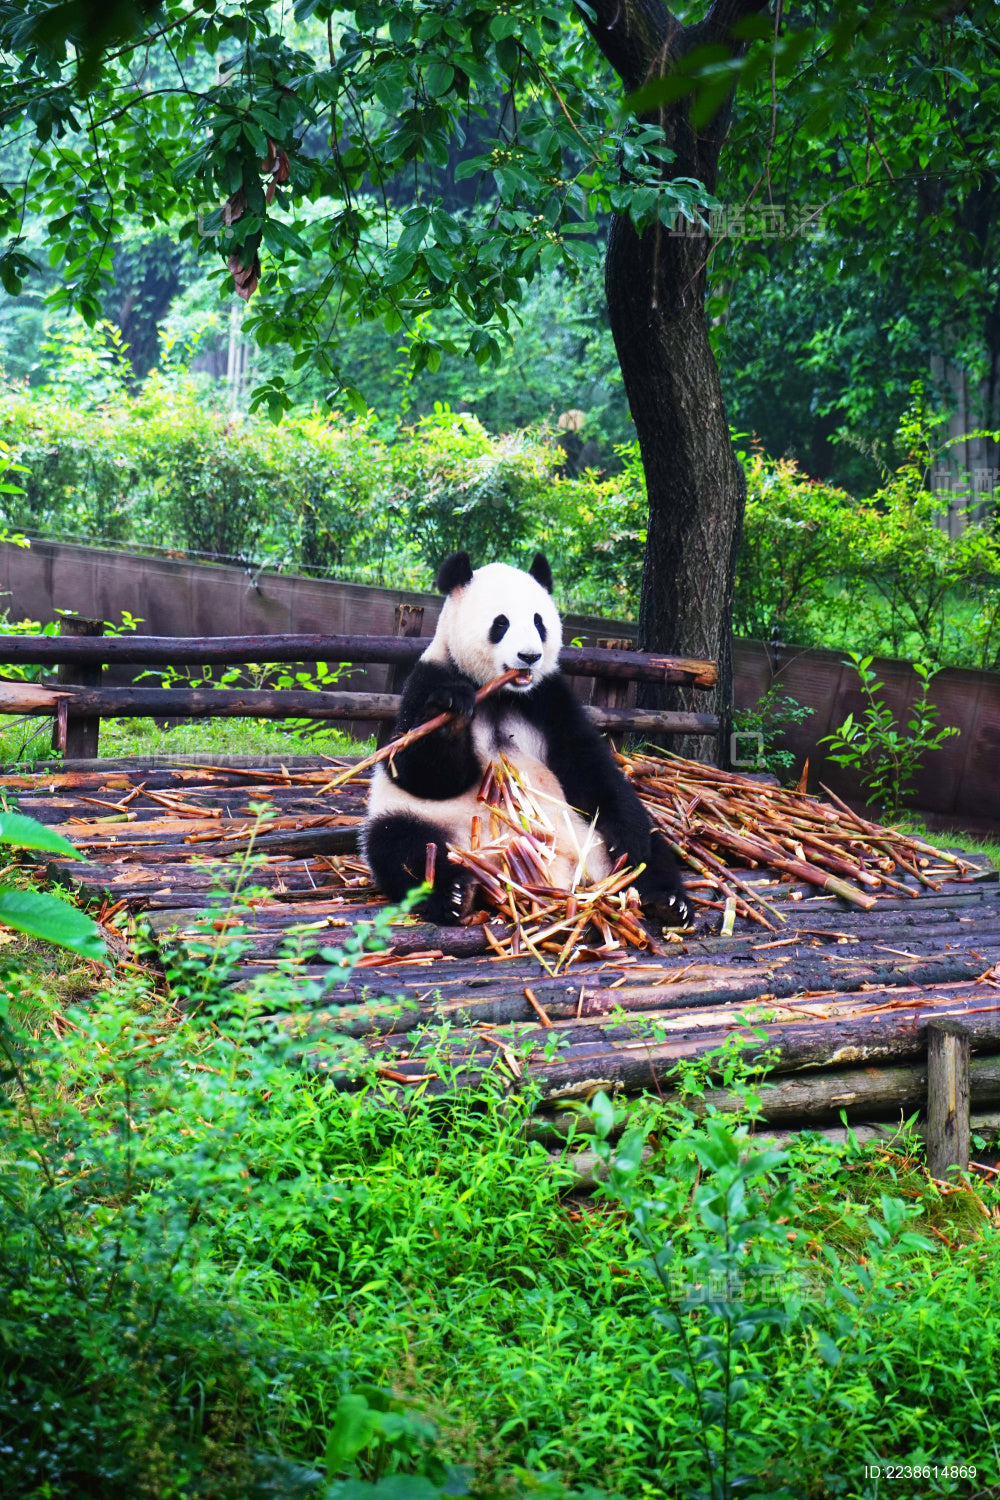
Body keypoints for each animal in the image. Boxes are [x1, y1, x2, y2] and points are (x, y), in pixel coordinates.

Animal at [361, 550, 691, 929]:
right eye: (500, 623)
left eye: (538, 622)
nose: (530, 656)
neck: (502, 693)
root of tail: (557, 874)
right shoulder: (429, 679)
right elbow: (418, 771)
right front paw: (452, 712)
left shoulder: (549, 699)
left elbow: (588, 764)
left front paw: (628, 840)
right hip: (429, 823)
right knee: (400, 846)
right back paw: (455, 894)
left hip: (589, 836)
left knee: (652, 848)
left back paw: (667, 901)